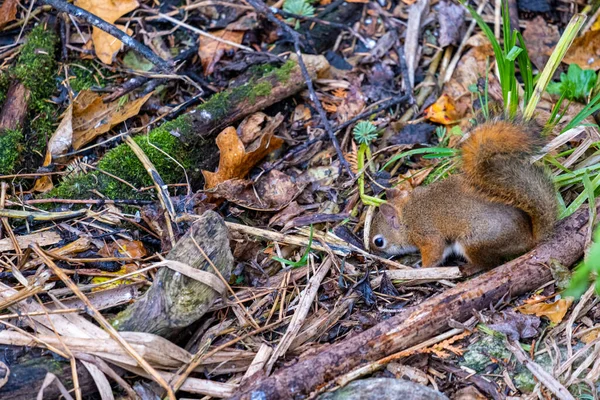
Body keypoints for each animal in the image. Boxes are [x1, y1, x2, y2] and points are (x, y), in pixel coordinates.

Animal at [370, 119, 556, 268]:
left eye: (378, 242)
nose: (373, 255)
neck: (406, 215)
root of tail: (529, 238)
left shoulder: (426, 234)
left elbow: (434, 253)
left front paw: (420, 269)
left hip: (473, 243)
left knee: (489, 264)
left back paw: (469, 269)